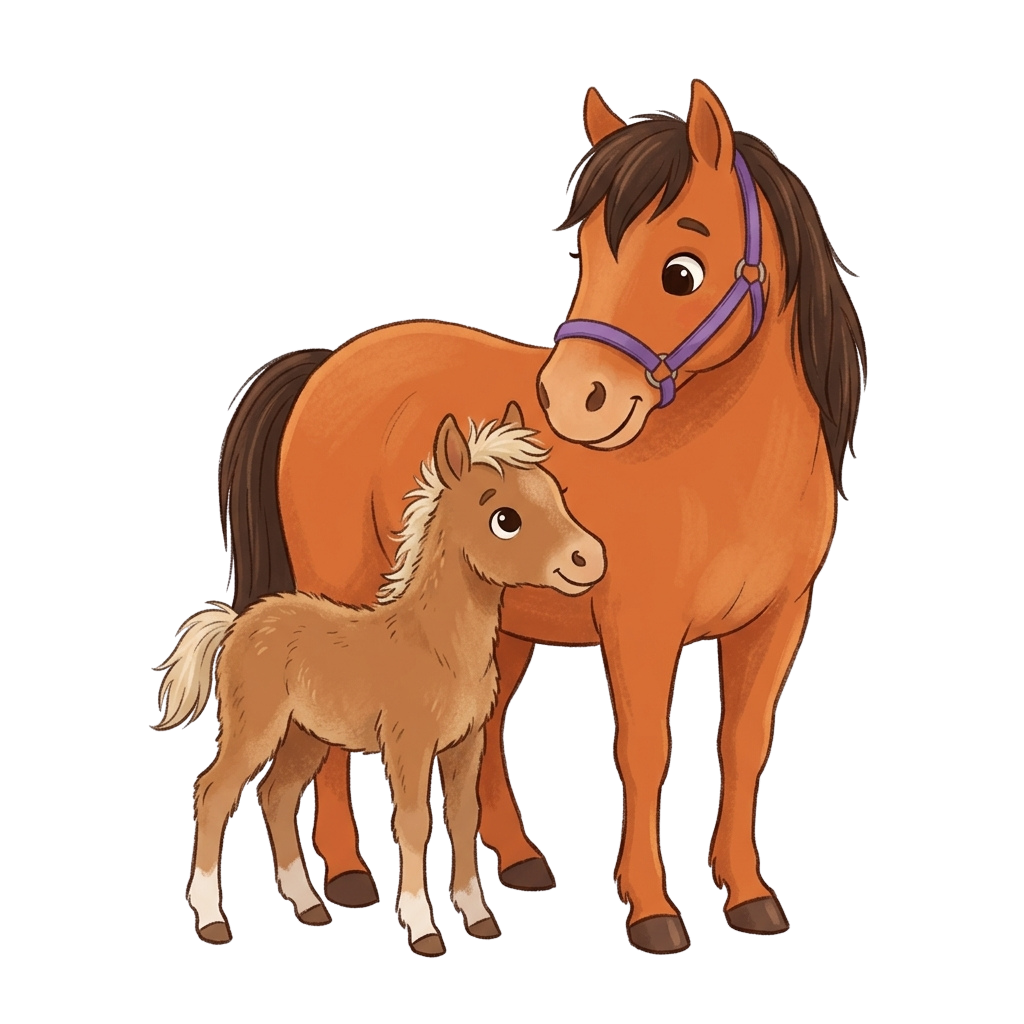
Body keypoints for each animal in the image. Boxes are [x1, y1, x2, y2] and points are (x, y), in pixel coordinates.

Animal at [154, 409, 606, 955]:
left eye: (557, 492)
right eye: (505, 519)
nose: (590, 558)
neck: (436, 646)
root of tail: (241, 622)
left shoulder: (466, 743)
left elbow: (463, 818)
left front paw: (478, 917)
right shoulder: (407, 744)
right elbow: (414, 823)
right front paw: (422, 928)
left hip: (305, 735)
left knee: (276, 796)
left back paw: (309, 906)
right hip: (254, 725)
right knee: (214, 792)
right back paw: (211, 920)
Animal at [216, 79, 866, 954]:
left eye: (683, 271)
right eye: (587, 255)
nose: (571, 399)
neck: (728, 465)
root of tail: (327, 364)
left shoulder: (778, 620)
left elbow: (744, 744)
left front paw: (751, 896)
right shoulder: (640, 628)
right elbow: (645, 750)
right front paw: (653, 910)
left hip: (506, 627)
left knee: (486, 733)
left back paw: (517, 861)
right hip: (341, 600)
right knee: (328, 735)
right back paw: (346, 877)